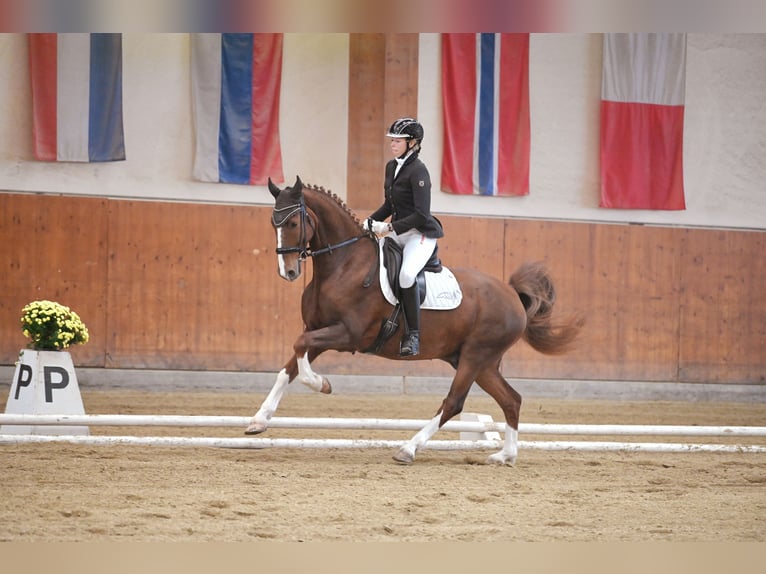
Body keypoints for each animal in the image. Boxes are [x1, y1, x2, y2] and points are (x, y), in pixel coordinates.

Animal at [245, 176, 583, 465]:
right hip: (480, 362)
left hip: (476, 355)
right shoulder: (318, 330)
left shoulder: (348, 334)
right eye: (273, 223)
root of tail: (512, 295)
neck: (343, 264)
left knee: (455, 402)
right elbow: (289, 366)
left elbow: (300, 353)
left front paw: (323, 384)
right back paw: (504, 456)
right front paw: (258, 421)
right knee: (511, 399)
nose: (289, 272)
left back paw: (408, 449)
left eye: (292, 222)